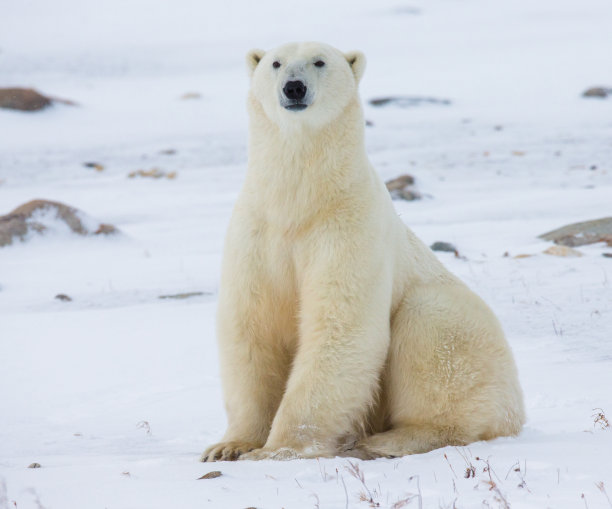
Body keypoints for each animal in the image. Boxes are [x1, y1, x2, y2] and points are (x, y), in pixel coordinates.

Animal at [202, 40, 524, 460]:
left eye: (319, 61)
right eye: (275, 63)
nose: (294, 87)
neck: (300, 203)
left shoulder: (347, 229)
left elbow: (340, 324)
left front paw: (279, 449)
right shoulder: (256, 235)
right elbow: (252, 327)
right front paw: (230, 446)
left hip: (462, 330)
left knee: (432, 330)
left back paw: (388, 439)